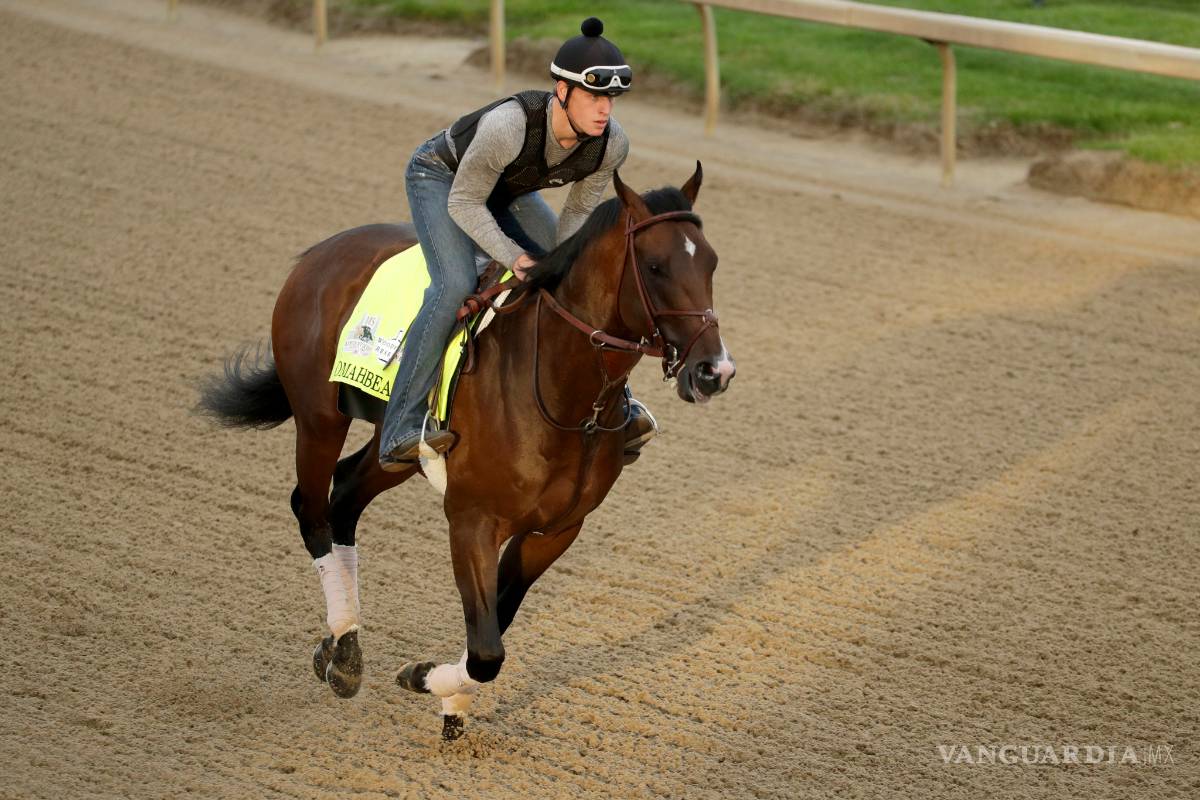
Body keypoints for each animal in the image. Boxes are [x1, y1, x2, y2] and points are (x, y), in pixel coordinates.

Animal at [198, 164, 735, 740]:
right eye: (655, 266)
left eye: (711, 262)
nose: (714, 371)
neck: (561, 392)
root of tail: (319, 253)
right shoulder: (472, 518)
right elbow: (487, 651)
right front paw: (422, 678)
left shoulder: (555, 530)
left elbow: (495, 626)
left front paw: (451, 701)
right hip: (321, 419)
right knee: (313, 509)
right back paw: (343, 649)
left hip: (397, 449)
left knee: (343, 498)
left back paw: (340, 647)